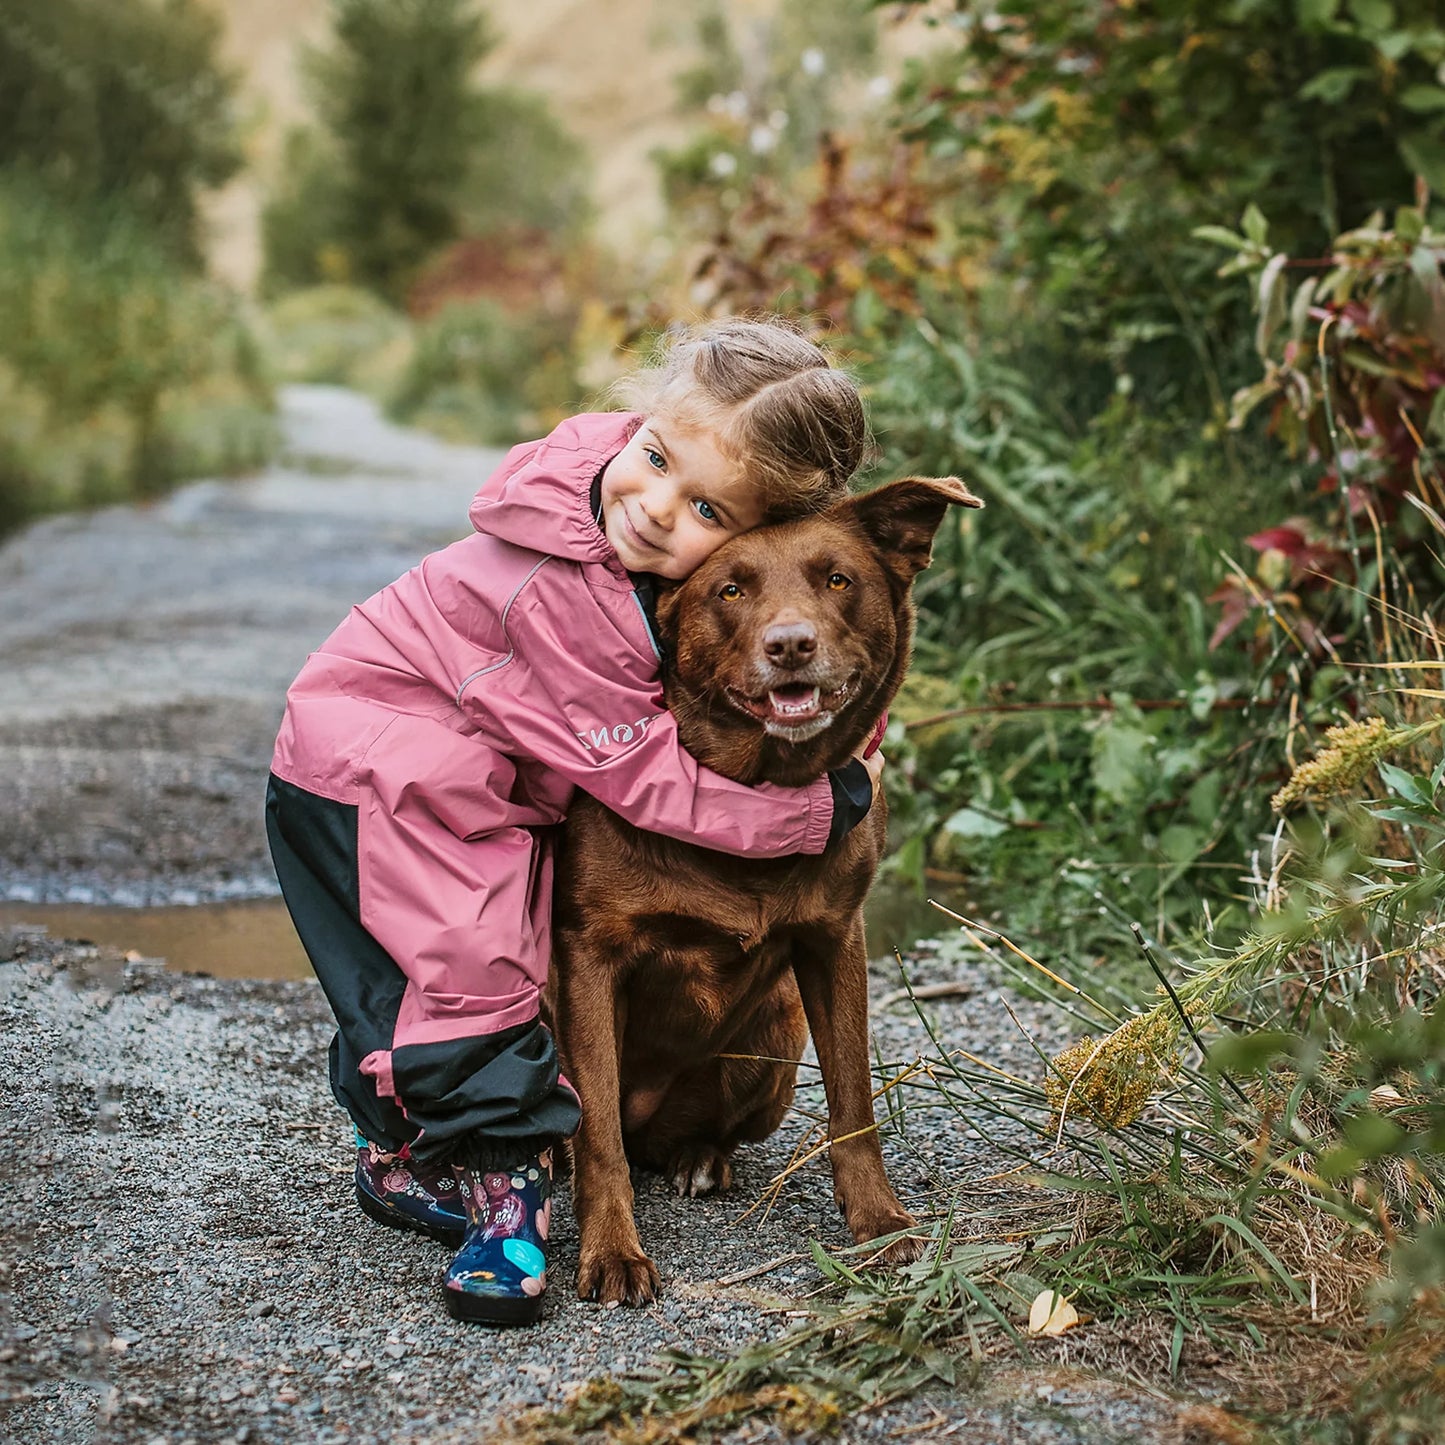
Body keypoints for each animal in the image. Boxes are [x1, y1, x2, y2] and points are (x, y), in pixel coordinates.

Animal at [543, 476, 982, 1312]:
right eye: (730, 589)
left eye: (838, 580)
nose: (789, 644)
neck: (746, 796)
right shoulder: (589, 955)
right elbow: (597, 1135)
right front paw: (610, 1250)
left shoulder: (835, 940)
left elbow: (853, 1099)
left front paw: (878, 1222)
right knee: (601, 1129)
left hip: (775, 1035)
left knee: (683, 1135)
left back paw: (698, 1156)